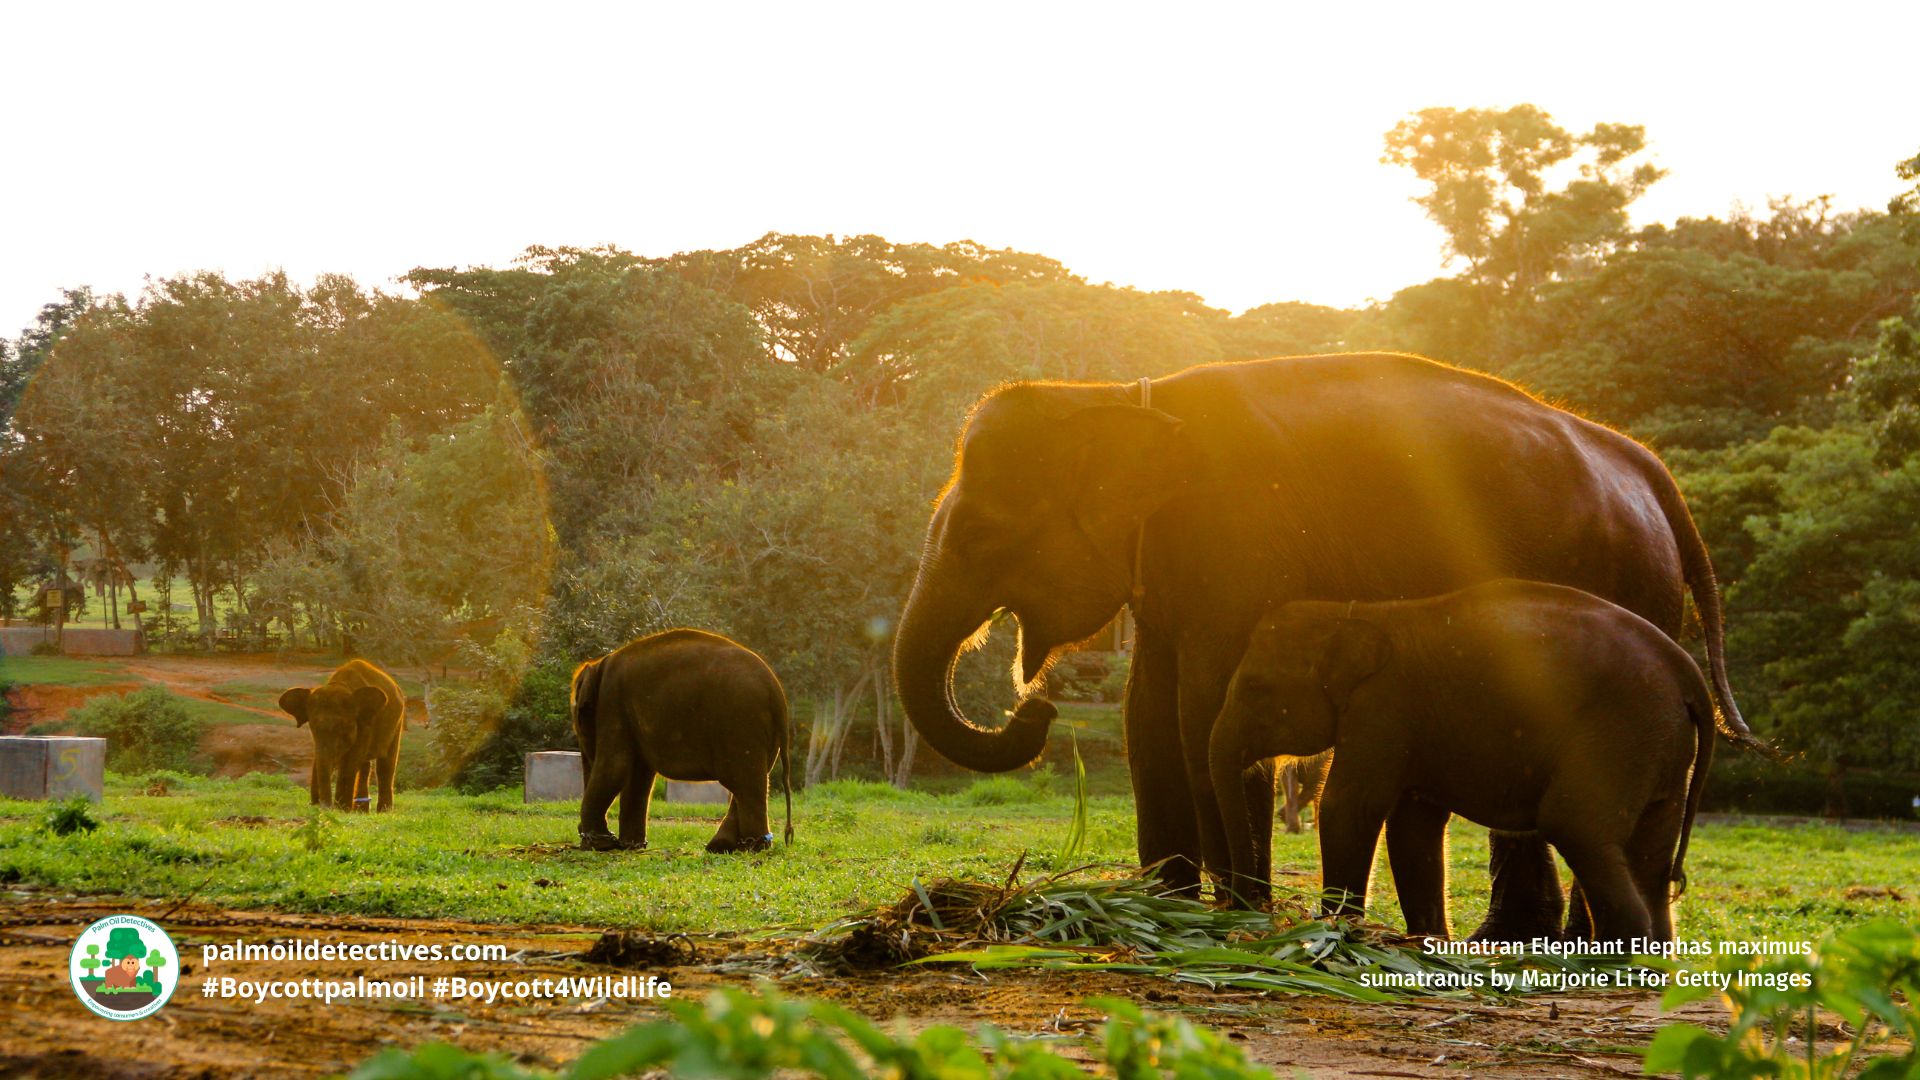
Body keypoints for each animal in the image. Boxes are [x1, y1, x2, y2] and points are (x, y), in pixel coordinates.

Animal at [278, 659, 405, 811]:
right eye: (313, 728)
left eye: (344, 727)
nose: (318, 804)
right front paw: (342, 809)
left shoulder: (366, 723)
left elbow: (351, 760)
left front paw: (342, 809)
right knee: (365, 765)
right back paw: (361, 811)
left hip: (397, 721)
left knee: (385, 765)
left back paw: (382, 811)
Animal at [570, 628, 793, 853]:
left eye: (579, 719)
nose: (580, 835)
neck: (600, 664)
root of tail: (776, 690)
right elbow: (637, 775)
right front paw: (630, 846)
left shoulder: (612, 703)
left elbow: (615, 767)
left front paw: (601, 845)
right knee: (750, 781)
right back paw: (723, 846)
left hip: (741, 721)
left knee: (745, 783)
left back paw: (751, 847)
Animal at [1210, 580, 1714, 945]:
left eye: (1255, 688)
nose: (1250, 911)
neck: (1354, 612)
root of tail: (1689, 674)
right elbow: (1413, 824)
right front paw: (1427, 941)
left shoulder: (1382, 708)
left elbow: (1348, 807)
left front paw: (1334, 930)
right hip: (1662, 746)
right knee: (1650, 851)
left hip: (1620, 733)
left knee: (1575, 825)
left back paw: (1609, 963)